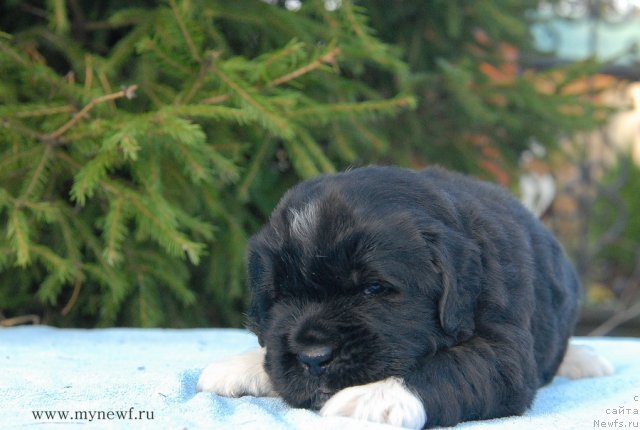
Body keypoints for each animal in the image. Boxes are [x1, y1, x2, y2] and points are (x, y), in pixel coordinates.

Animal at [198, 166, 612, 428]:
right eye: (282, 296)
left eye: (374, 289)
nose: (313, 357)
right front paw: (241, 365)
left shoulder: (504, 353)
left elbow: (447, 366)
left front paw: (373, 397)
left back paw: (584, 359)